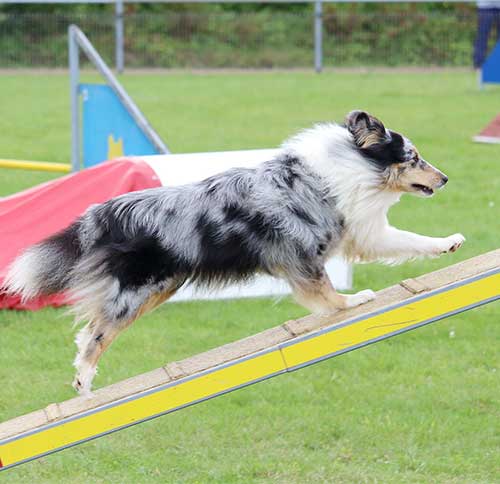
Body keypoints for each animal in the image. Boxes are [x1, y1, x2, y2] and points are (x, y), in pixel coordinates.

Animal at [3, 110, 464, 394]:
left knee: (92, 327)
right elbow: (324, 291)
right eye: (414, 158)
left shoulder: (362, 232)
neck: (350, 166)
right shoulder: (301, 252)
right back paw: (83, 382)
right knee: (97, 332)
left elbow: (409, 239)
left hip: (159, 288)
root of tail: (108, 211)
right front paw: (353, 301)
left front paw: (449, 242)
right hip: (140, 290)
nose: (445, 178)